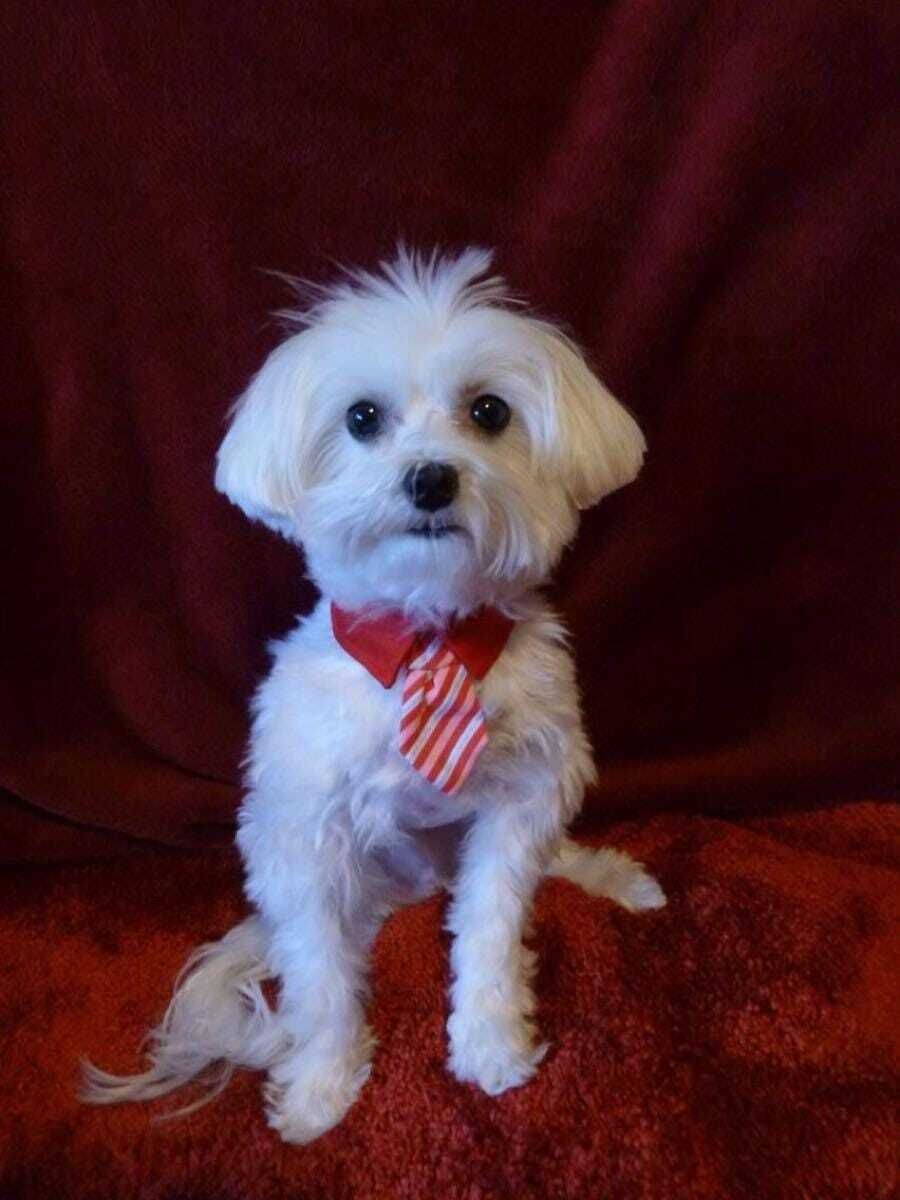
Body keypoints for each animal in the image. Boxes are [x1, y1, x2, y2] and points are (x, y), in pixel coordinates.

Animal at [82, 246, 665, 1144]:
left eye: (489, 410)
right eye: (361, 419)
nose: (429, 478)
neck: (426, 635)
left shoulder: (521, 800)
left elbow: (492, 931)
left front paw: (491, 1044)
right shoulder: (304, 834)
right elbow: (320, 978)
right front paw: (322, 1086)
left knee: (538, 870)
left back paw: (613, 881)